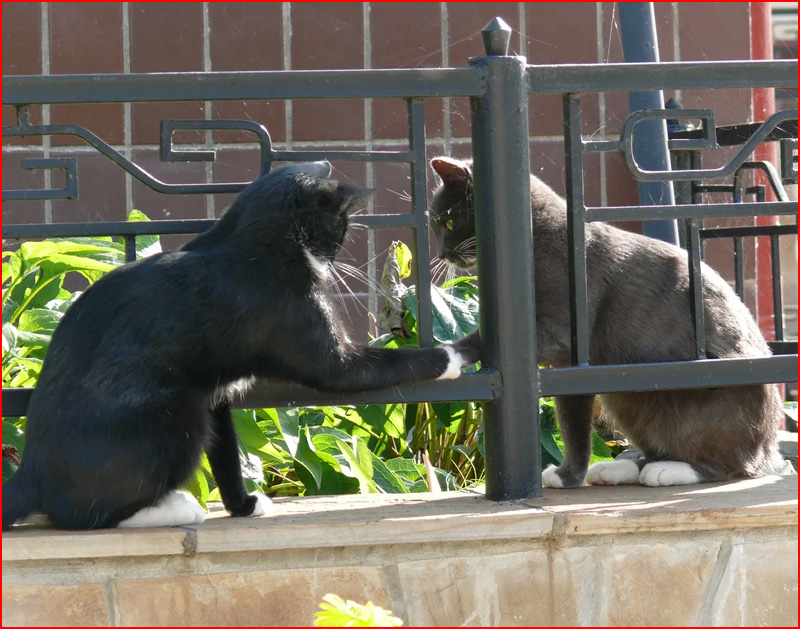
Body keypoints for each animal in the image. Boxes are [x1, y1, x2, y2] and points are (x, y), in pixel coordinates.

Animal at [3, 159, 478, 528]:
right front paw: (461, 351)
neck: (248, 247)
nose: (338, 255)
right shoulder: (317, 347)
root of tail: (32, 469)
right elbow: (375, 365)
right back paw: (176, 508)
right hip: (176, 409)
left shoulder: (215, 391)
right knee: (77, 515)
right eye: (340, 226)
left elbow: (227, 450)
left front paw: (243, 504)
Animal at [428, 156, 792, 486]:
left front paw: (447, 355)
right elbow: (572, 417)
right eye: (434, 225)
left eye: (448, 223)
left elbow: (496, 342)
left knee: (730, 465)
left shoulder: (562, 330)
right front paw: (569, 475)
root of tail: (769, 449)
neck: (533, 237)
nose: (442, 253)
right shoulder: (570, 365)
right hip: (627, 399)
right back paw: (619, 469)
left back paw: (669, 471)